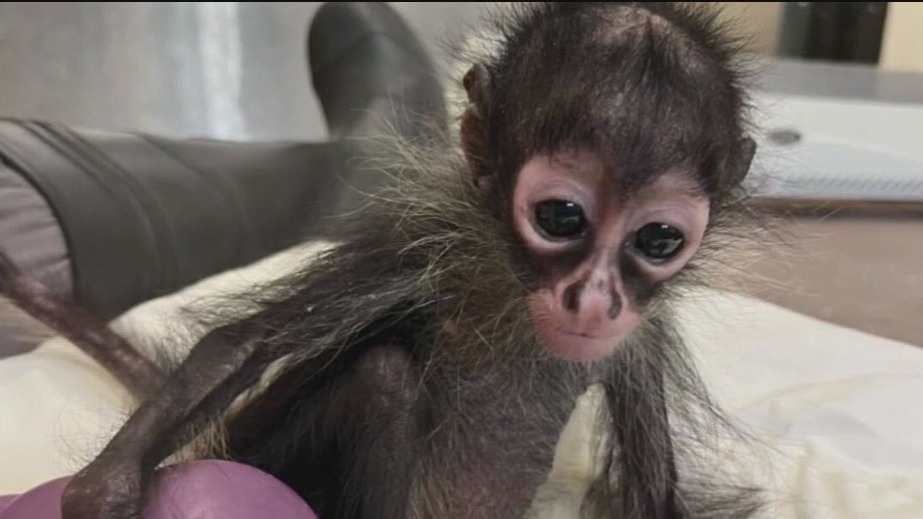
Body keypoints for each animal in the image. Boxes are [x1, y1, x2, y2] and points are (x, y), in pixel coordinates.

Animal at [0, 2, 768, 518]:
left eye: (658, 239)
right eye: (561, 218)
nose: (595, 299)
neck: (516, 302)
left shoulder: (639, 335)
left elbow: (652, 482)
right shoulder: (423, 249)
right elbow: (239, 347)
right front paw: (103, 491)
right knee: (383, 378)